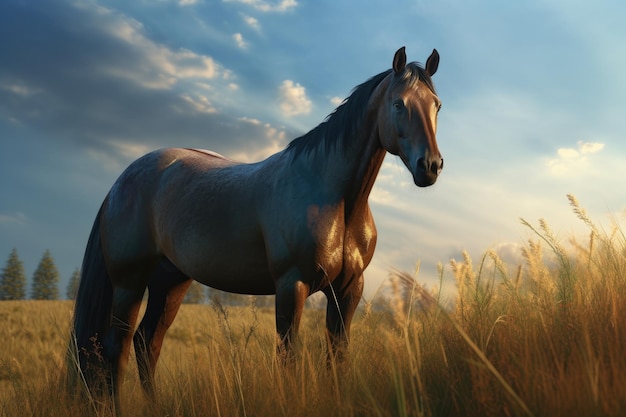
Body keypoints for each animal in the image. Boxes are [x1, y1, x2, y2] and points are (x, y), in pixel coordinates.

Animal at [68, 46, 442, 410]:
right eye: (398, 103)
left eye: (436, 105)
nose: (430, 166)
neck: (336, 198)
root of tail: (123, 180)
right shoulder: (292, 285)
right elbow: (287, 358)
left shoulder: (348, 289)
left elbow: (337, 358)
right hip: (129, 282)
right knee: (116, 348)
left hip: (170, 282)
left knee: (147, 343)